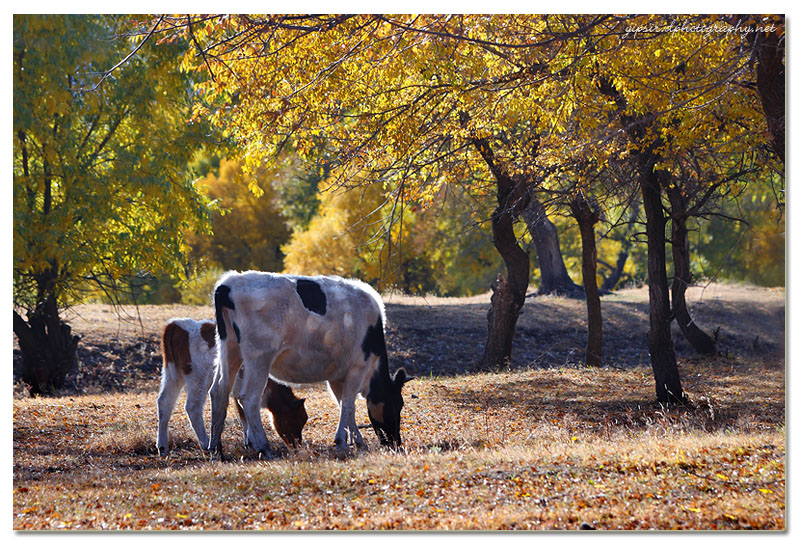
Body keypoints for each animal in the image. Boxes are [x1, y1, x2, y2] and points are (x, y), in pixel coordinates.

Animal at [157, 316, 310, 456]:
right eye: (294, 419)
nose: (297, 445)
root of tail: (176, 324)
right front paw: (255, 444)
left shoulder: (238, 392)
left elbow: (243, 416)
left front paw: (249, 443)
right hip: (198, 379)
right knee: (193, 407)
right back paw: (206, 444)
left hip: (172, 376)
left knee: (164, 403)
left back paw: (162, 448)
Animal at [206, 270, 412, 456]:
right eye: (396, 404)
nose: (396, 443)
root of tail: (229, 283)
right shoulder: (357, 368)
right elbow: (348, 404)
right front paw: (342, 442)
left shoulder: (336, 375)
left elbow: (345, 405)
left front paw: (357, 441)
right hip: (259, 357)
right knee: (248, 399)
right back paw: (264, 447)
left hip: (229, 349)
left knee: (219, 392)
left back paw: (215, 448)